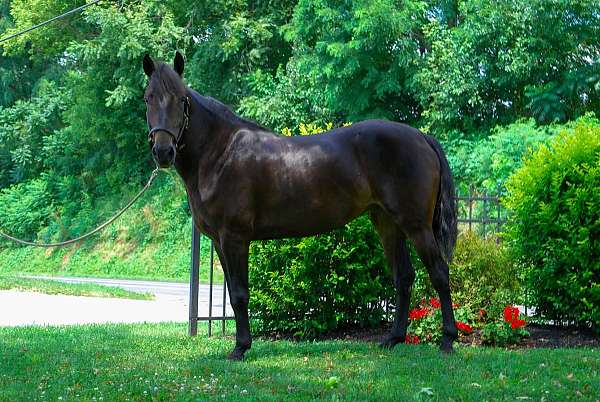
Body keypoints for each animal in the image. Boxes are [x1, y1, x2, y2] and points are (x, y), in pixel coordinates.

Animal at [143, 51, 458, 360]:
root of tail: (421, 137)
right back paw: (393, 339)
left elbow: (240, 294)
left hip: (416, 225)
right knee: (404, 277)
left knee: (439, 274)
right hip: (388, 223)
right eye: (148, 97)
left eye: (181, 99)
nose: (163, 151)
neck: (221, 153)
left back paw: (447, 340)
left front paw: (241, 347)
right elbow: (233, 293)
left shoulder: (235, 238)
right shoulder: (221, 243)